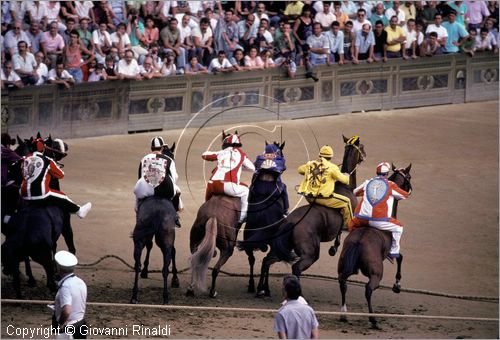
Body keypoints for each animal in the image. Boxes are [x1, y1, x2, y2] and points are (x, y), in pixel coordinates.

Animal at [131, 142, 180, 304]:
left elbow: (150, 246)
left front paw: (146, 271)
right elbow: (173, 251)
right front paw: (176, 279)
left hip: (141, 236)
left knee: (137, 263)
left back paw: (135, 295)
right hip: (166, 235)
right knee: (166, 260)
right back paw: (165, 296)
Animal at [256, 135, 366, 298]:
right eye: (362, 147)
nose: (365, 155)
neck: (344, 186)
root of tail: (290, 222)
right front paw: (335, 247)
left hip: (282, 248)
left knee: (266, 261)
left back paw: (262, 289)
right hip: (310, 254)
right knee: (296, 268)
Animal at [336, 163, 414, 328]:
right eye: (409, 176)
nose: (411, 188)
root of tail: (358, 242)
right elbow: (399, 257)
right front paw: (397, 285)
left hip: (343, 265)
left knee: (342, 282)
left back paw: (344, 313)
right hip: (376, 273)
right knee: (368, 289)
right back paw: (373, 319)